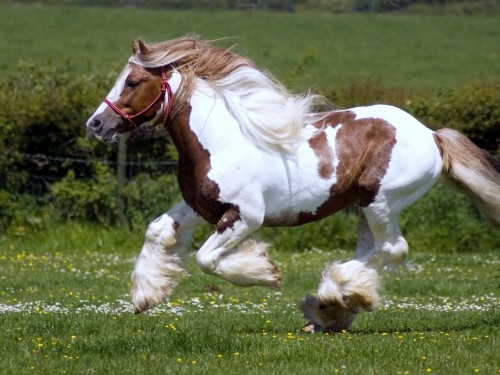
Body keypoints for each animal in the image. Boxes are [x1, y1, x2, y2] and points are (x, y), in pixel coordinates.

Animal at [88, 36, 500, 334]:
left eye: (134, 81)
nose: (95, 124)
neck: (222, 140)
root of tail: (432, 136)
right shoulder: (198, 207)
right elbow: (158, 230)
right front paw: (145, 296)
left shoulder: (245, 217)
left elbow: (207, 259)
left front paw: (265, 272)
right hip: (364, 208)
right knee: (374, 252)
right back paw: (331, 309)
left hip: (380, 201)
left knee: (392, 249)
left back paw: (331, 298)